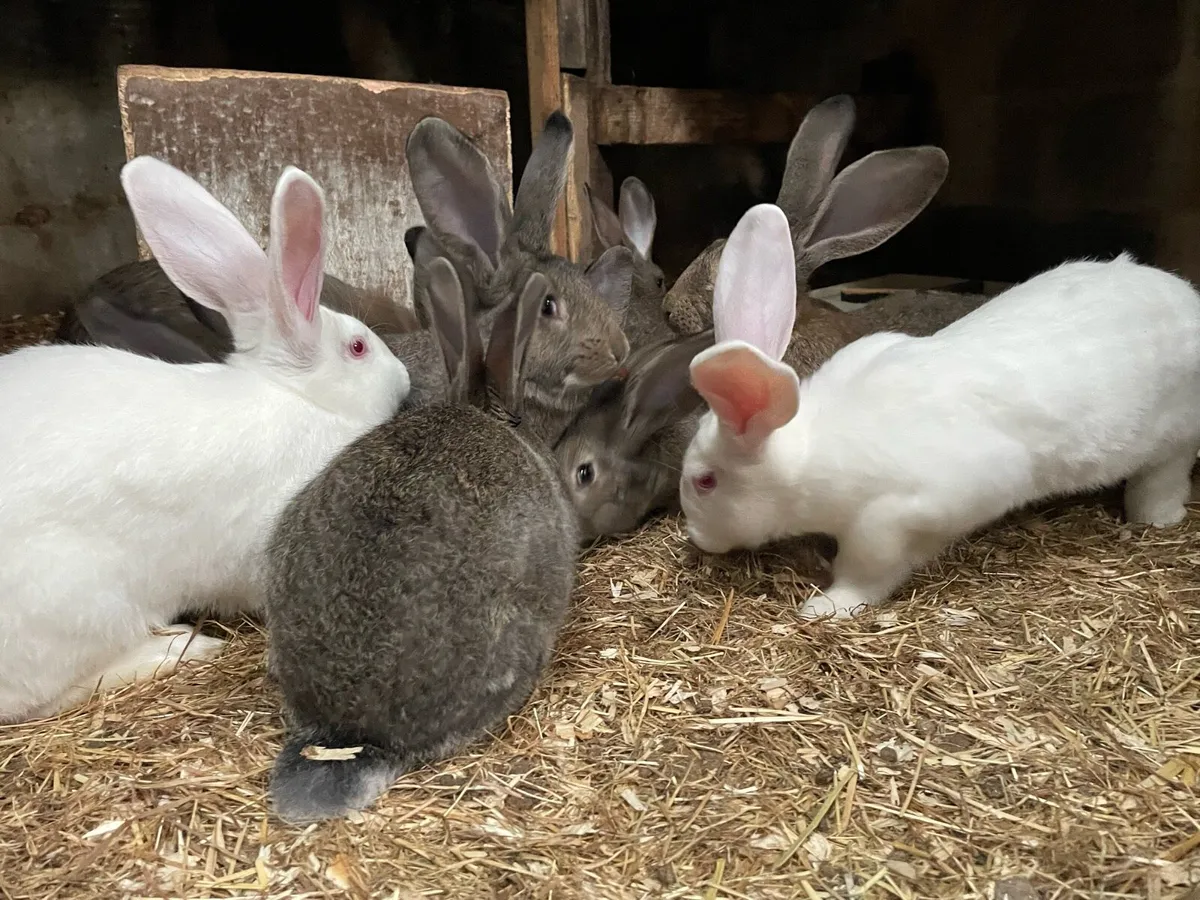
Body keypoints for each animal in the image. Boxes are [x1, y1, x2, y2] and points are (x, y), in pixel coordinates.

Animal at [679, 203, 1200, 621]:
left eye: (705, 482)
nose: (697, 539)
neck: (809, 457)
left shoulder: (902, 514)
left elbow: (868, 567)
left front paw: (827, 606)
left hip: (1175, 440)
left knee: (1165, 476)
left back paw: (1155, 518)